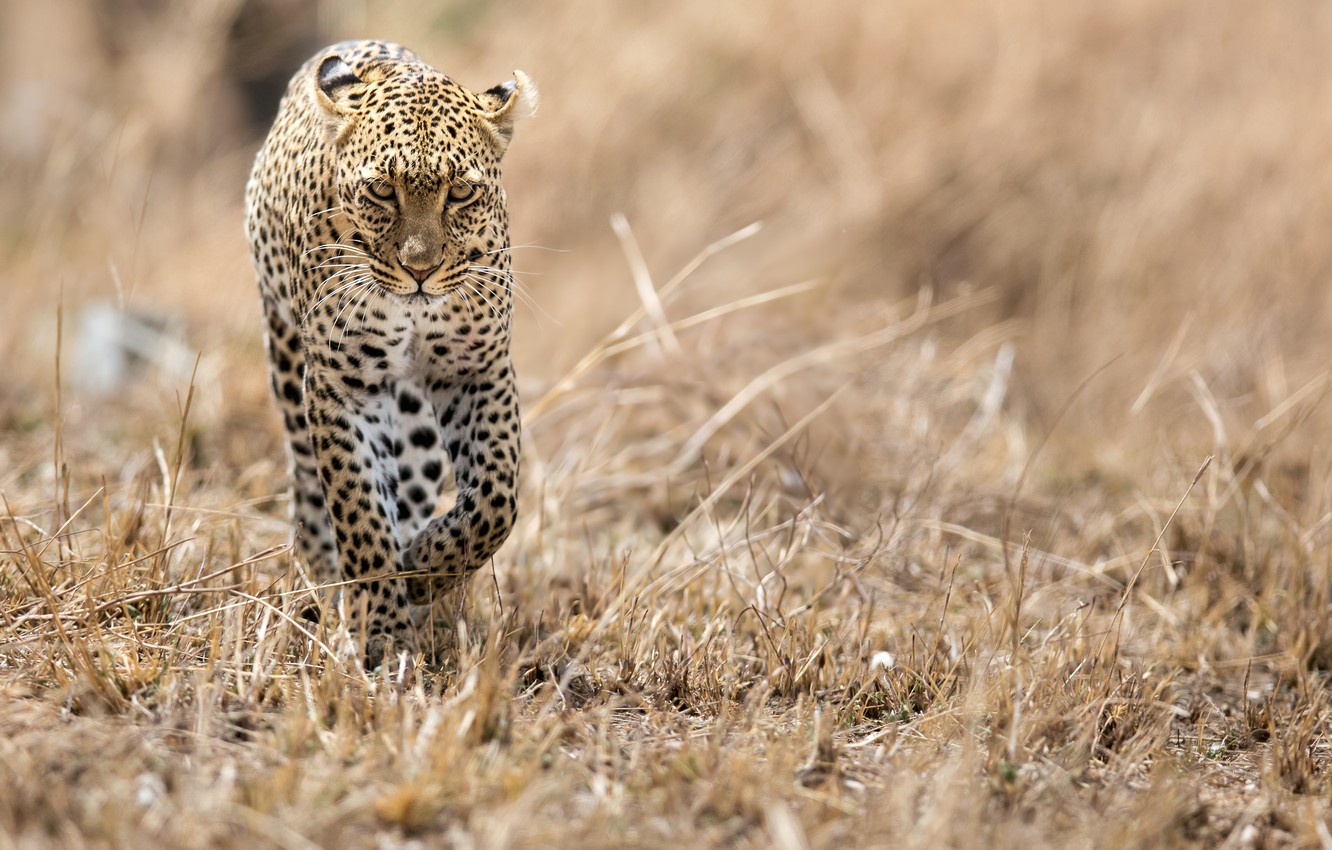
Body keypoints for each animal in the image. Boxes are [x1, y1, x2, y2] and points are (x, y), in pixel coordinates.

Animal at [244, 40, 536, 666]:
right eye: (382, 190)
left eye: (460, 192)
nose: (420, 269)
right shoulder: (342, 384)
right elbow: (357, 507)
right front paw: (379, 627)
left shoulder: (477, 370)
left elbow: (495, 501)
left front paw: (423, 568)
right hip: (287, 360)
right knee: (310, 490)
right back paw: (324, 586)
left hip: (416, 420)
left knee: (416, 485)